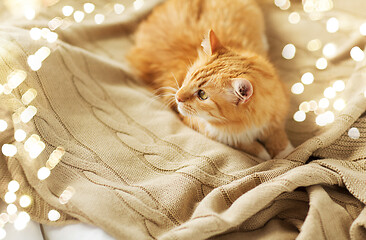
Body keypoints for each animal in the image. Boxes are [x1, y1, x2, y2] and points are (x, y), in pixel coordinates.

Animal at [127, 0, 294, 159]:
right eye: (188, 77)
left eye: (202, 95)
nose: (177, 97)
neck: (248, 124)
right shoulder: (206, 128)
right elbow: (246, 144)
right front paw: (264, 153)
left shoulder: (276, 115)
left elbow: (279, 138)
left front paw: (286, 154)